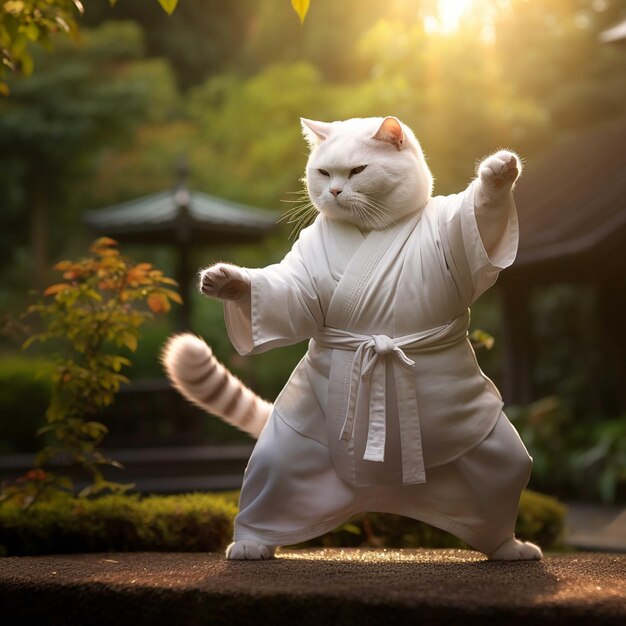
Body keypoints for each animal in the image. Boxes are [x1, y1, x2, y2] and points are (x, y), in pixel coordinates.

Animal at [162, 116, 540, 560]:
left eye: (357, 171)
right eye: (325, 173)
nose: (335, 191)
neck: (369, 226)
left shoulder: (460, 238)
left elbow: (481, 217)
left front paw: (498, 172)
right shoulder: (301, 276)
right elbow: (288, 298)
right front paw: (231, 284)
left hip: (491, 450)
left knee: (505, 475)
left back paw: (508, 546)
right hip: (286, 452)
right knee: (268, 481)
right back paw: (251, 541)